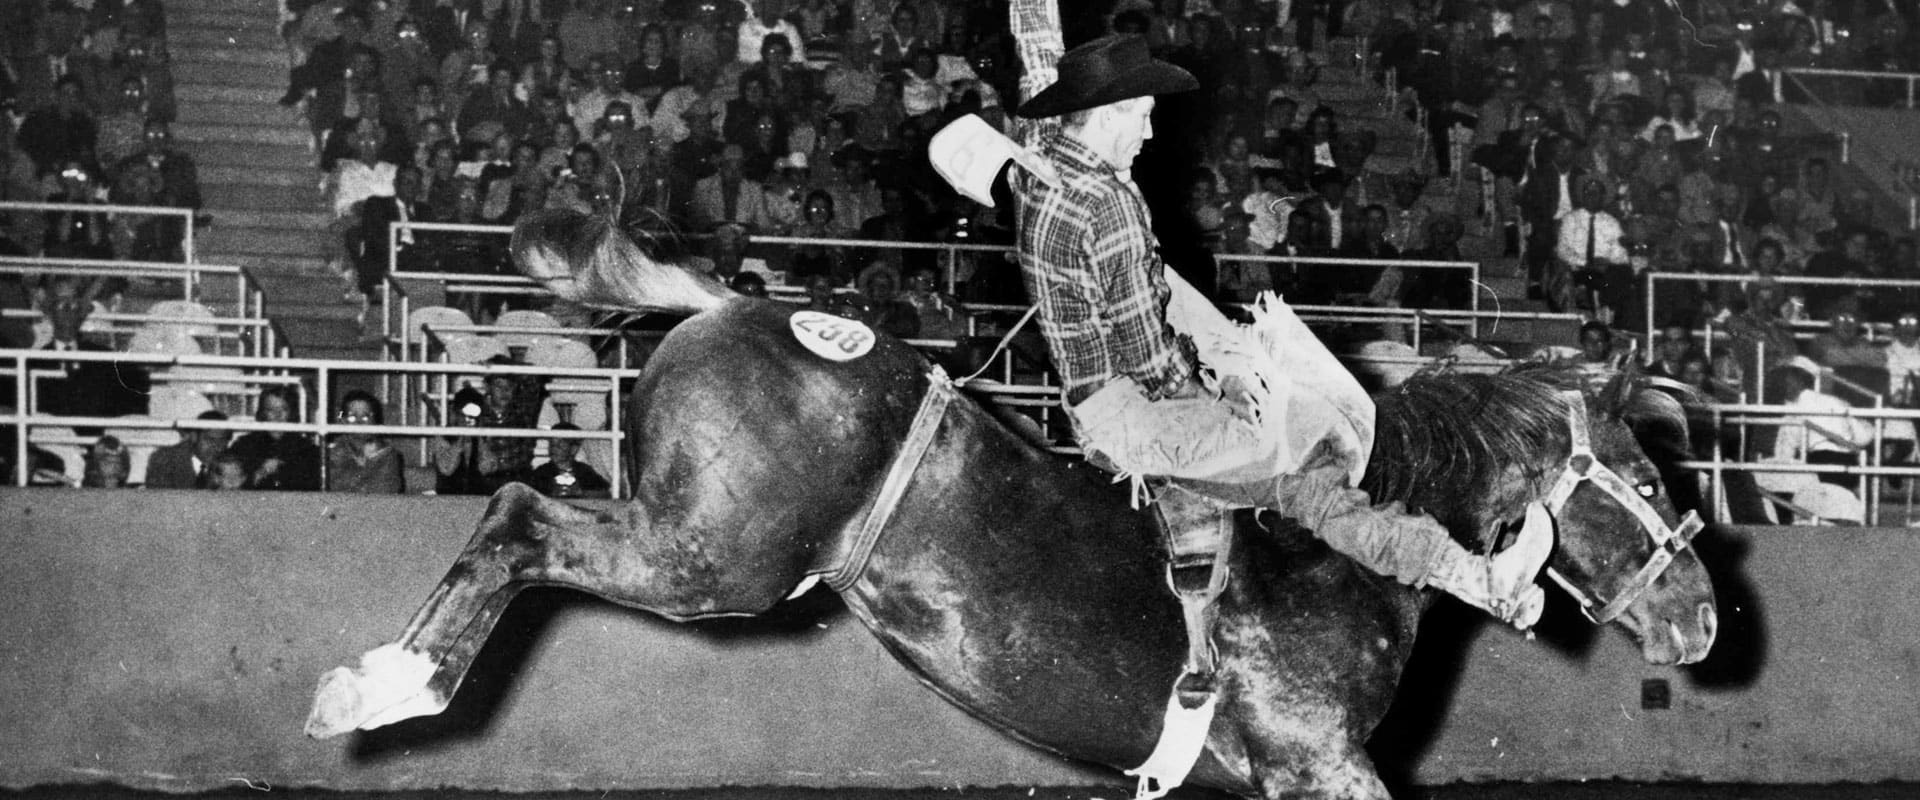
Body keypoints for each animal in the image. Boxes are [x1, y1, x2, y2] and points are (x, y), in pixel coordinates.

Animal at [307, 209, 1720, 794]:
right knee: (518, 518)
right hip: (705, 555)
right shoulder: (1316, 762)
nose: (1705, 617)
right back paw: (386, 686)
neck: (1333, 552)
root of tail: (731, 302)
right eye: (1651, 480)